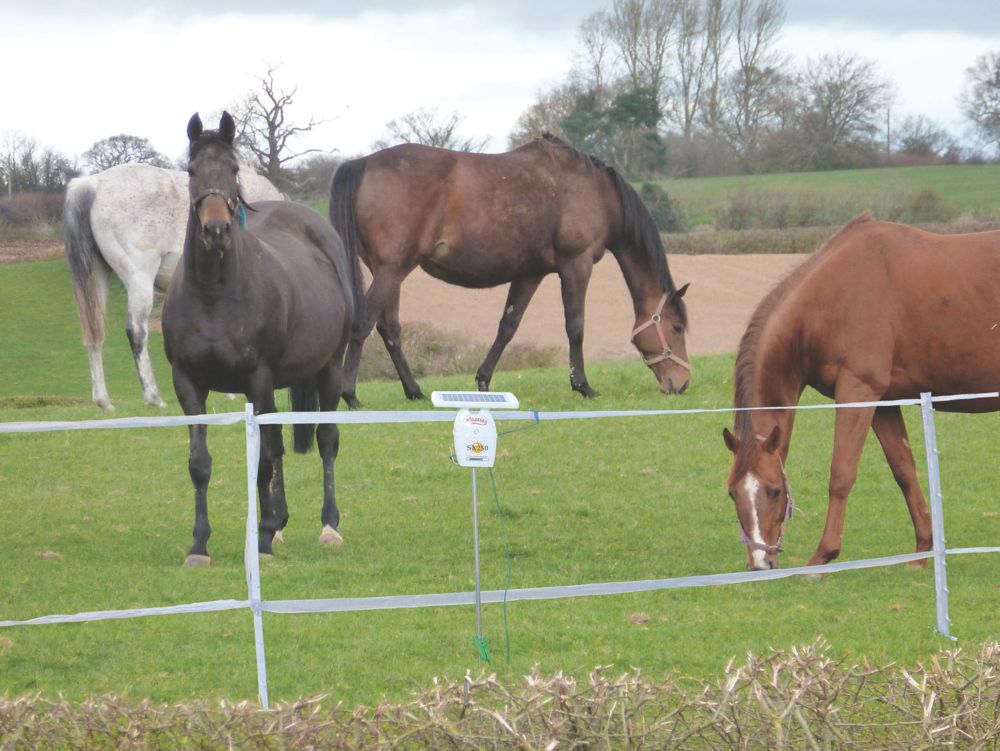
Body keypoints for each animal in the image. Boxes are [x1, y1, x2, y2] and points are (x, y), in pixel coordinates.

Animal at [63, 163, 282, 412]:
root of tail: (93, 183)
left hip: (96, 277)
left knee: (94, 333)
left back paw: (103, 400)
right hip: (140, 277)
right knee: (136, 331)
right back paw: (153, 396)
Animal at [161, 113, 356, 564]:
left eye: (233, 169)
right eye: (191, 170)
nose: (216, 230)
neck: (213, 297)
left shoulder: (258, 380)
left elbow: (264, 462)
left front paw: (263, 539)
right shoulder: (188, 385)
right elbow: (200, 463)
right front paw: (200, 544)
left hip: (329, 368)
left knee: (326, 440)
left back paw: (328, 526)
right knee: (279, 442)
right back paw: (280, 523)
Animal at [328, 132, 688, 408]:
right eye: (677, 327)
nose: (682, 383)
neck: (596, 192)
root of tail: (363, 162)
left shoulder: (530, 273)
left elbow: (508, 326)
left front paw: (483, 381)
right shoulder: (577, 265)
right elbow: (575, 327)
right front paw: (583, 386)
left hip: (390, 272)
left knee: (389, 329)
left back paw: (414, 391)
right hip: (391, 271)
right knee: (363, 324)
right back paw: (350, 395)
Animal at [724, 216, 1000, 568]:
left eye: (774, 490)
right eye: (733, 492)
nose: (760, 563)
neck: (828, 300)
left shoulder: (857, 391)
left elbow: (841, 473)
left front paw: (822, 558)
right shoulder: (883, 402)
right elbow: (903, 469)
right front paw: (921, 552)